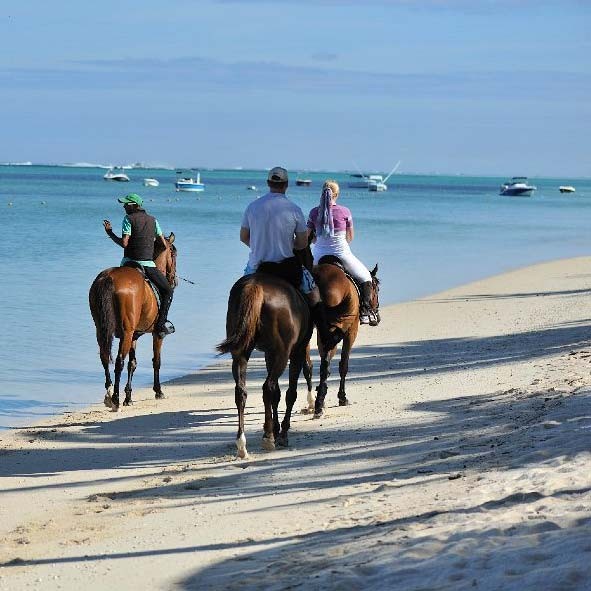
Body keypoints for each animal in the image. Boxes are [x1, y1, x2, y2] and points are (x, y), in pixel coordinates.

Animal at [88, 234, 176, 410]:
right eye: (174, 254)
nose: (174, 280)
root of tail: (109, 277)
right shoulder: (157, 334)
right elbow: (156, 361)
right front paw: (158, 391)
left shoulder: (134, 335)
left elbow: (132, 363)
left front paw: (128, 397)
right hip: (126, 333)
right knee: (119, 361)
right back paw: (115, 398)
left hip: (102, 330)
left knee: (105, 356)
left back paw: (109, 393)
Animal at [215, 270, 312, 460]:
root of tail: (255, 285)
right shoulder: (295, 353)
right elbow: (290, 393)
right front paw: (281, 433)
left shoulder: (269, 354)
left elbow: (278, 394)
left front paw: (276, 428)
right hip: (283, 353)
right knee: (268, 387)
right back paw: (268, 437)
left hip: (241, 351)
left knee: (241, 391)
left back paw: (242, 444)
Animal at [302, 262, 382, 418]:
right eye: (377, 288)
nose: (377, 317)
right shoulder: (351, 331)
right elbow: (343, 364)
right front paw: (342, 397)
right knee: (324, 365)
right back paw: (319, 405)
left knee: (308, 366)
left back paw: (312, 402)